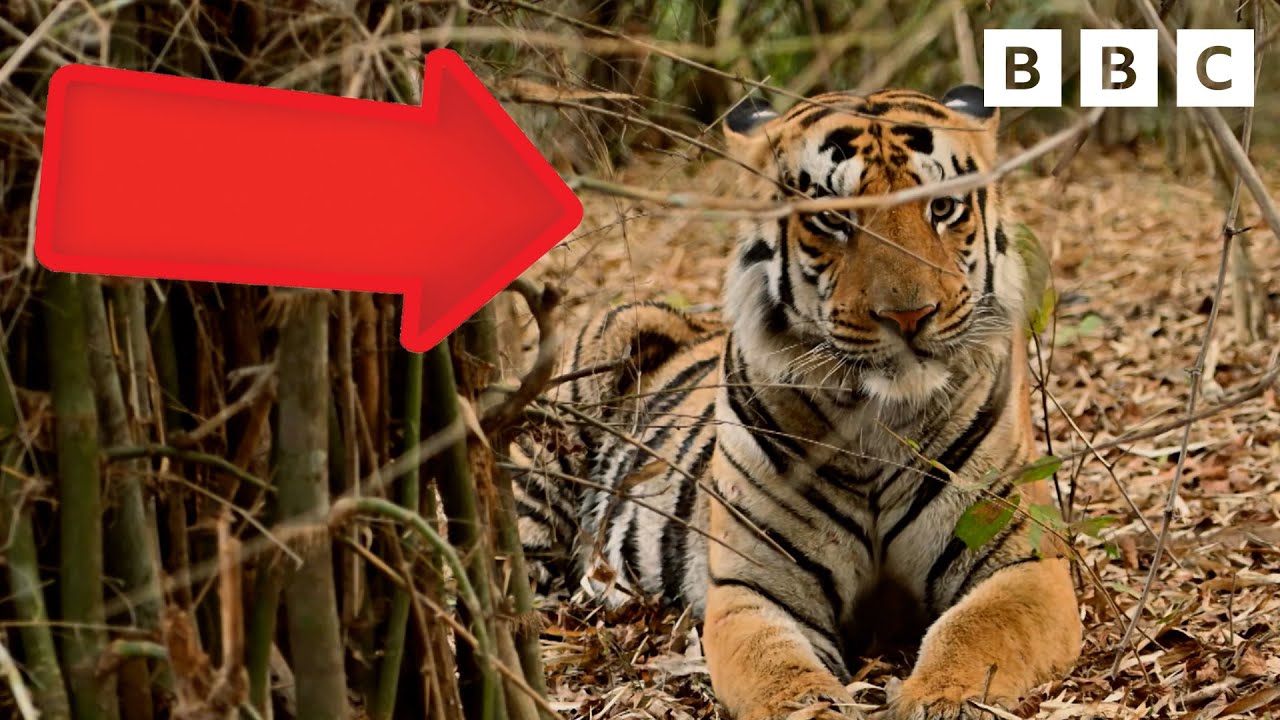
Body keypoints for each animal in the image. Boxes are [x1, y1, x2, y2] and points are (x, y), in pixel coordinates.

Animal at [513, 85, 1082, 720]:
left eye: (942, 209)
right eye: (833, 218)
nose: (909, 315)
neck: (878, 423)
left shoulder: (1023, 561)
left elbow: (976, 632)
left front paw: (941, 701)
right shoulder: (756, 588)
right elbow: (778, 670)